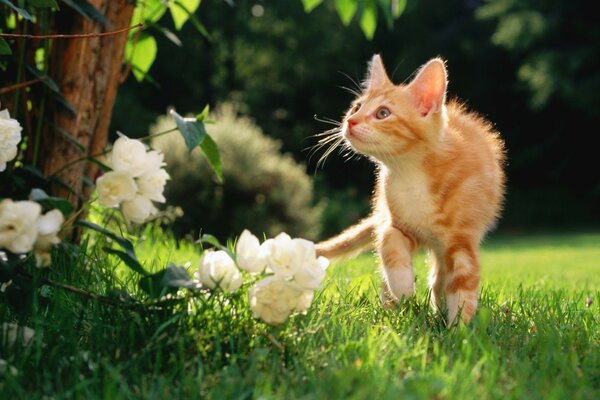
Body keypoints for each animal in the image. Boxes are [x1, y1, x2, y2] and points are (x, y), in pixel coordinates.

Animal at [316, 54, 504, 324]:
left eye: (383, 113)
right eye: (356, 107)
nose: (350, 121)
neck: (411, 172)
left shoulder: (462, 239)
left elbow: (463, 281)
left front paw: (459, 328)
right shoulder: (398, 222)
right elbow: (388, 240)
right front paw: (403, 286)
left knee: (439, 275)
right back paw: (391, 308)